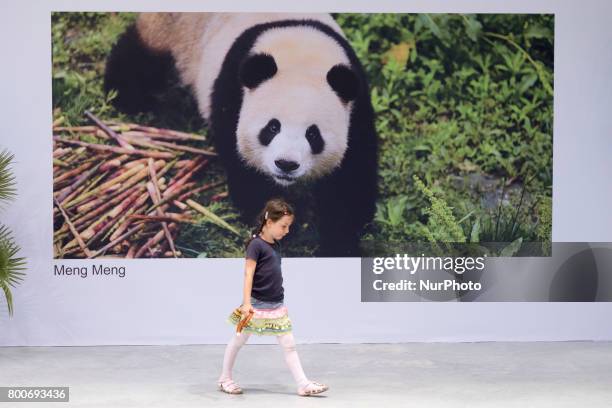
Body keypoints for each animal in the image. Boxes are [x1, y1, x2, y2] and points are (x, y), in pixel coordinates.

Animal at [106, 13, 378, 258]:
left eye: (313, 134)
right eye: (272, 127)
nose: (286, 164)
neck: (301, 53)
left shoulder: (356, 105)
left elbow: (352, 176)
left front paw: (339, 243)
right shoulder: (233, 91)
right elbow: (241, 162)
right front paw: (271, 218)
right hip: (169, 30)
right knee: (140, 59)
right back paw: (125, 96)